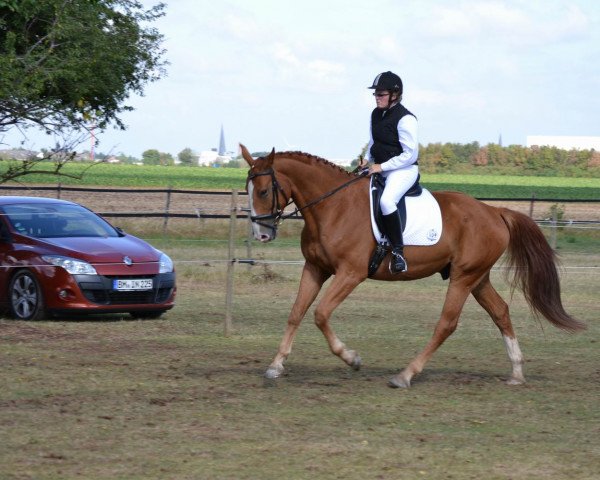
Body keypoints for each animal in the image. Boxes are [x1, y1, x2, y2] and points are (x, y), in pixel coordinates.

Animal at [240, 145, 584, 386]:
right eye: (248, 190)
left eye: (264, 191)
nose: (261, 234)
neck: (332, 207)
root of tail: (494, 211)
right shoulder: (315, 268)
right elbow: (296, 312)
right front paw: (276, 365)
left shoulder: (350, 273)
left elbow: (321, 314)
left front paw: (352, 358)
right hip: (477, 278)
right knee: (500, 312)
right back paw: (516, 372)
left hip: (464, 277)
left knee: (447, 324)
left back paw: (405, 375)